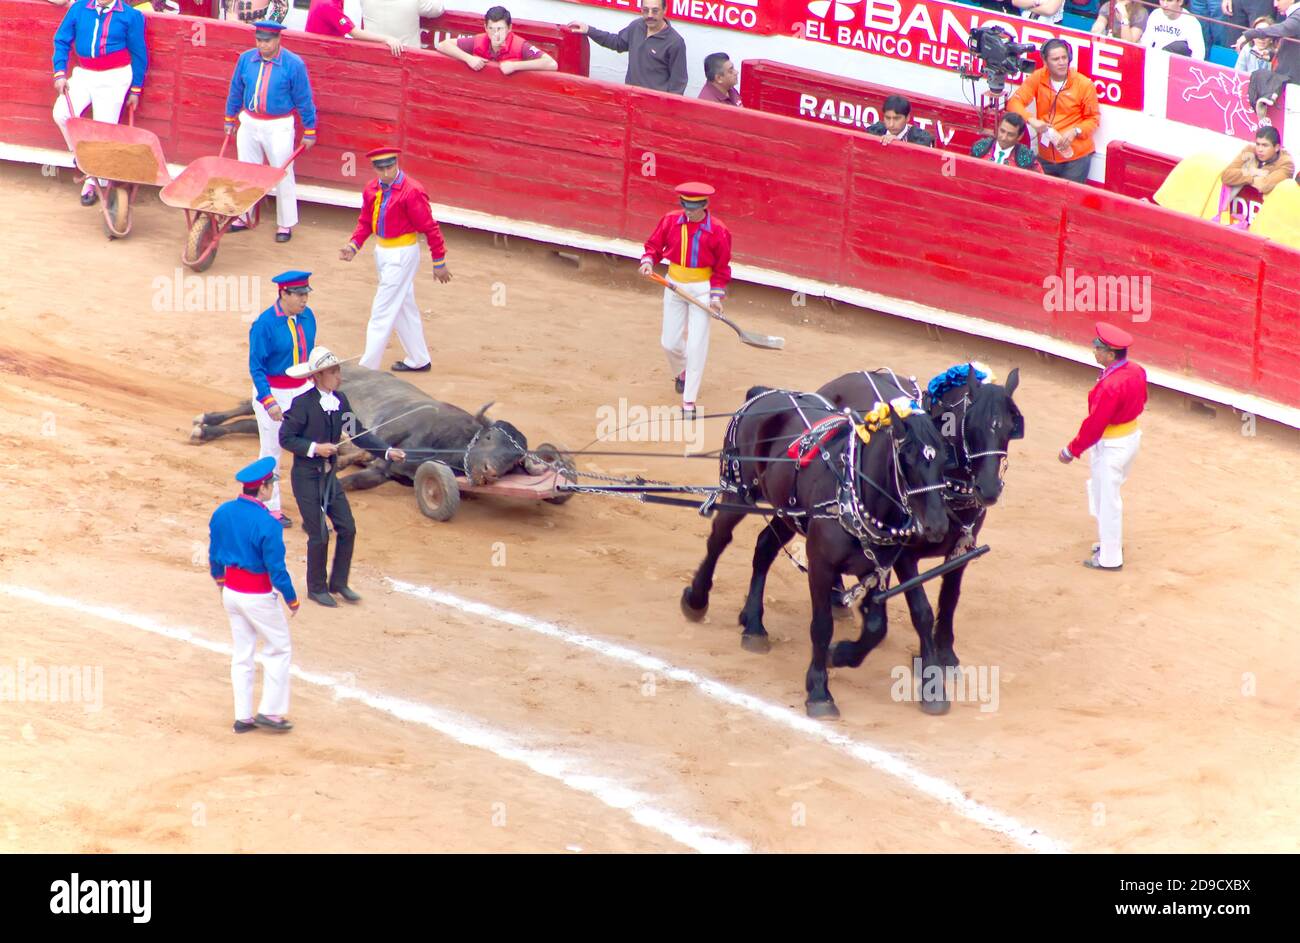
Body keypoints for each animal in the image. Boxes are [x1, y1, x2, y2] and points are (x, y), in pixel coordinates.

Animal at [681, 379, 946, 717]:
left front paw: (841, 655)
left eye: (945, 459)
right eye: (907, 460)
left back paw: (753, 624)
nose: (937, 525)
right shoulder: (821, 564)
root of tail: (762, 393)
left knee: (764, 548)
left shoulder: (880, 566)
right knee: (719, 539)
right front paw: (819, 690)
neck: (854, 491)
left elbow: (877, 626)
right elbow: (822, 626)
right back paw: (697, 599)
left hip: (787, 512)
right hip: (738, 494)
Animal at [821, 364, 1024, 681]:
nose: (990, 489)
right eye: (971, 425)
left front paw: (946, 652)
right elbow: (921, 609)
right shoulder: (904, 556)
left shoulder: (961, 550)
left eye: (1008, 427)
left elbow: (950, 599)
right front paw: (929, 665)